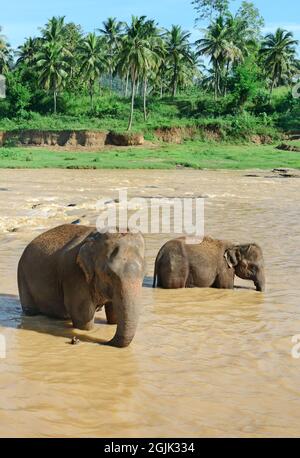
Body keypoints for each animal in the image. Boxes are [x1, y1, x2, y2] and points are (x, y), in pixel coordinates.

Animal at [17, 225, 146, 348]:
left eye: (144, 274)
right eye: (109, 274)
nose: (105, 342)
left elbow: (113, 313)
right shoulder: (74, 274)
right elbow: (84, 319)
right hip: (23, 277)